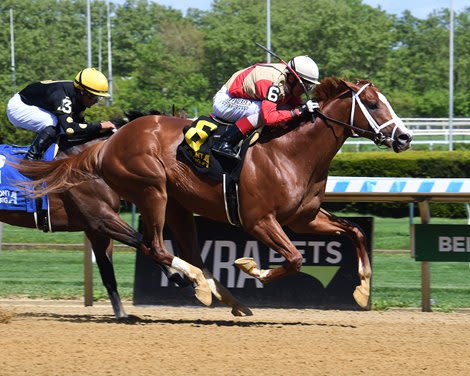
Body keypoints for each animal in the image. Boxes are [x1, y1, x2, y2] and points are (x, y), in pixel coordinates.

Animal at [18, 78, 412, 310]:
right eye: (373, 104)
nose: (406, 137)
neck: (291, 151)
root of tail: (109, 141)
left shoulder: (305, 218)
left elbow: (354, 231)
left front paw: (362, 290)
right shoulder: (259, 220)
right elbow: (294, 259)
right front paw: (250, 266)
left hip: (176, 204)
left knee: (185, 251)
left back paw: (220, 294)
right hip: (152, 190)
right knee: (155, 246)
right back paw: (198, 283)